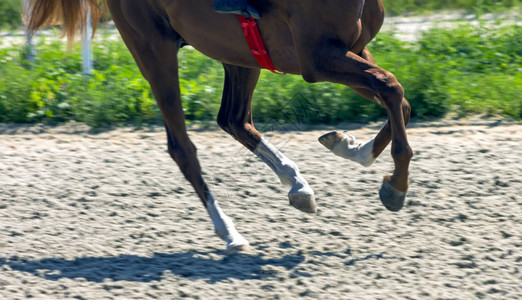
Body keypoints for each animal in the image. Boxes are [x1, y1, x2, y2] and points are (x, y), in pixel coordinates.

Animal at [26, 0, 410, 253]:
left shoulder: (351, 47)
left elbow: (398, 100)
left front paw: (350, 147)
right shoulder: (317, 57)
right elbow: (391, 86)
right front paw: (396, 185)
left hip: (238, 51)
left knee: (234, 120)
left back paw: (297, 185)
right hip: (154, 48)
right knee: (182, 147)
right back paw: (229, 232)